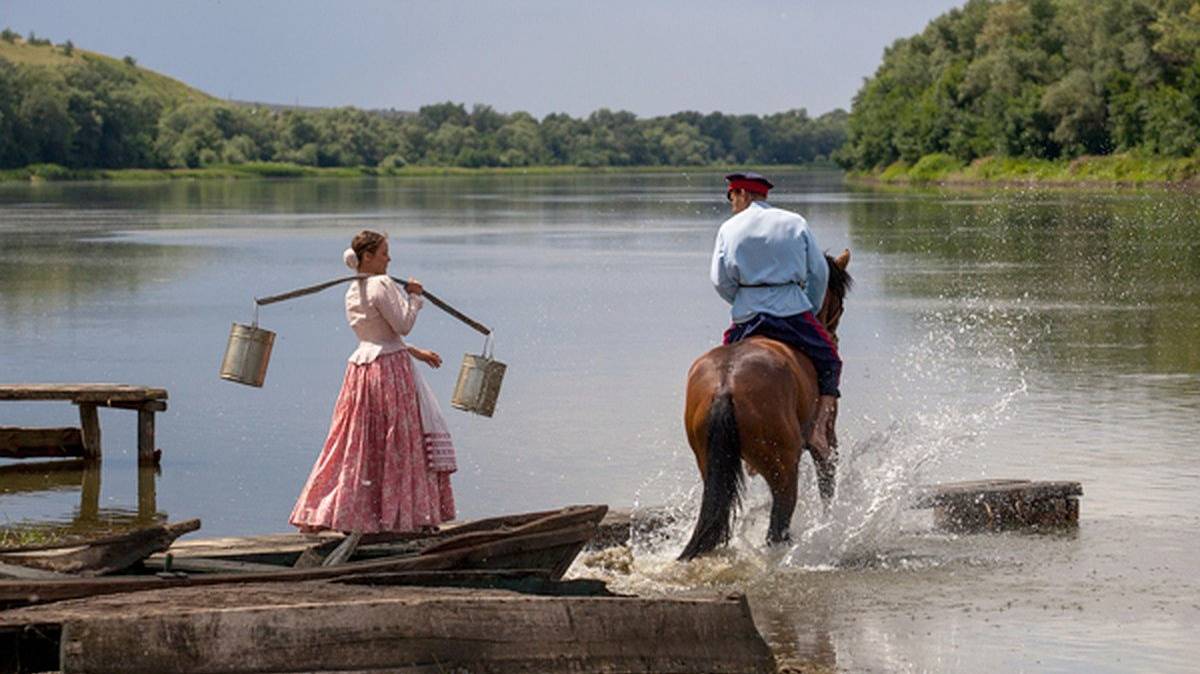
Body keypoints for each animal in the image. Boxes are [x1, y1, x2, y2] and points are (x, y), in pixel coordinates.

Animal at [676, 249, 854, 558]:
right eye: (839, 302)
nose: (833, 336)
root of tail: (725, 385)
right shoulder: (826, 438)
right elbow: (827, 484)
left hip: (710, 463)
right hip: (784, 468)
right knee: (778, 527)